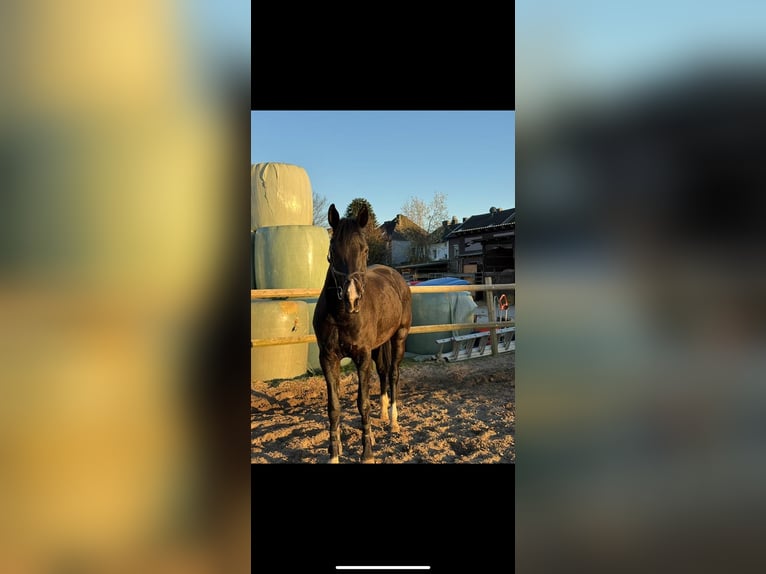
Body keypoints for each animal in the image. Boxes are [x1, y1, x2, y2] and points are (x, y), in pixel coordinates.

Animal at [313, 203, 413, 463]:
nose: (352, 298)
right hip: (379, 346)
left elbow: (363, 403)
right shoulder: (328, 358)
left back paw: (393, 421)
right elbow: (334, 406)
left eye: (365, 250)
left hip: (399, 337)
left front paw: (367, 453)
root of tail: (396, 276)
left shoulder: (362, 356)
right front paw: (334, 453)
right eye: (332, 249)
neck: (342, 316)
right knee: (383, 373)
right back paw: (383, 414)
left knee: (393, 374)